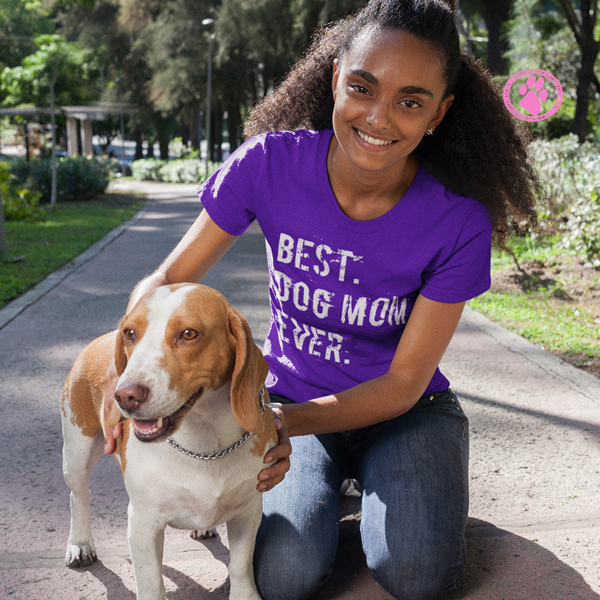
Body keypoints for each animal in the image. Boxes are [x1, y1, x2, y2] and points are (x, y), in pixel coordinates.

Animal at [61, 282, 276, 600]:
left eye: (188, 333)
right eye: (130, 333)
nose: (125, 395)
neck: (204, 444)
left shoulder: (247, 512)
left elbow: (240, 566)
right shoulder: (143, 523)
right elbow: (151, 583)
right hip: (76, 453)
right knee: (79, 496)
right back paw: (80, 543)